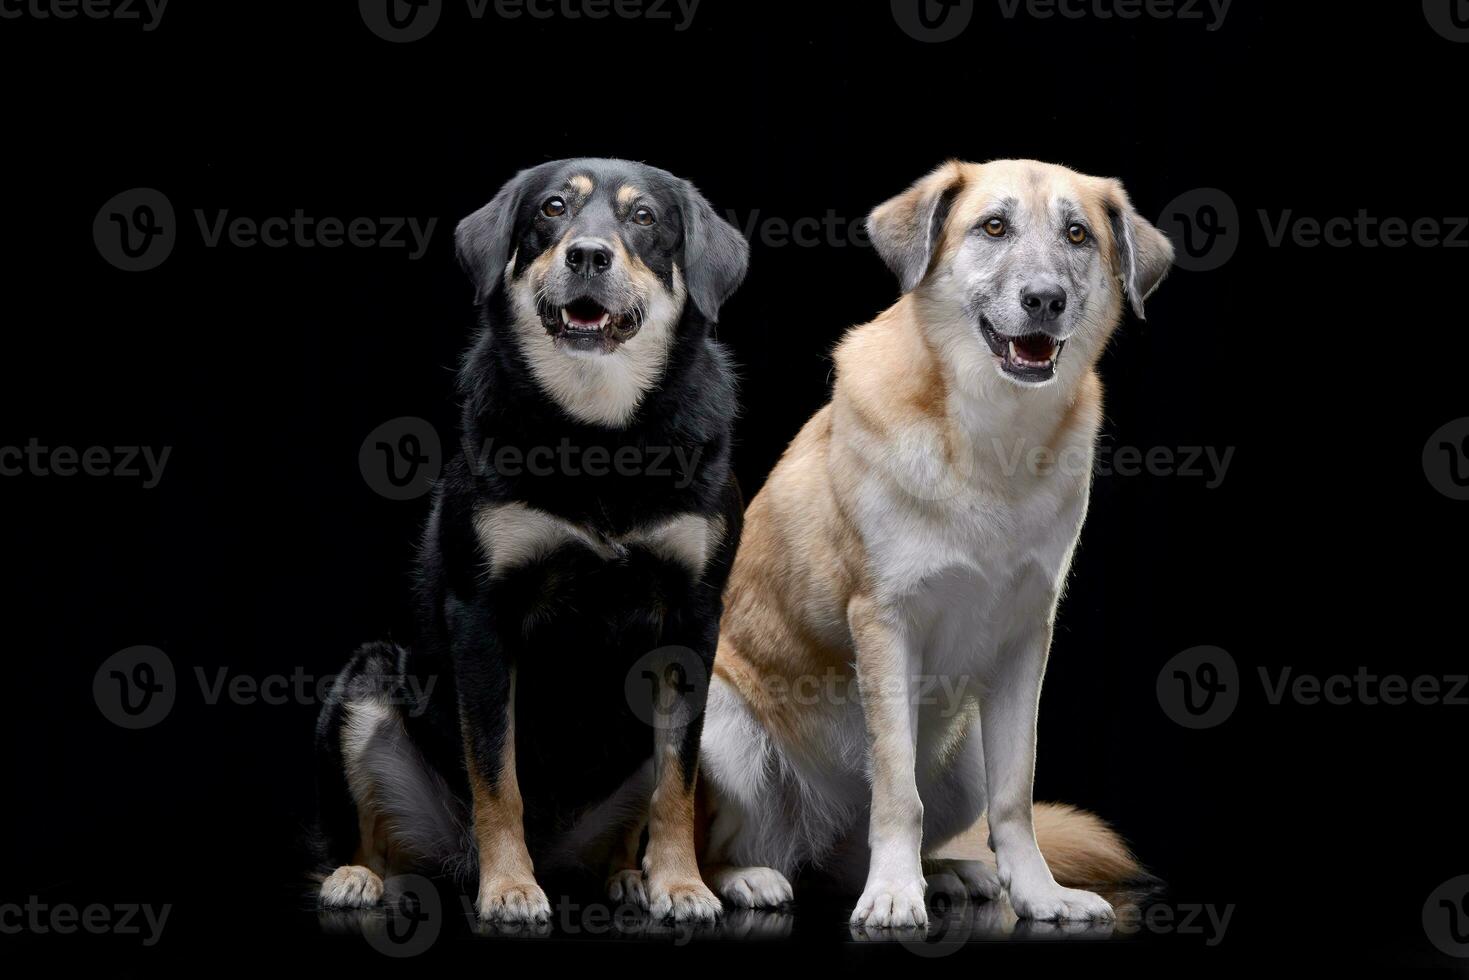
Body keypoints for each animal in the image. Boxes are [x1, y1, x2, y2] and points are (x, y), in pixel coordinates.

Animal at [309, 157, 746, 922]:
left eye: (643, 218)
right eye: (552, 209)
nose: (587, 255)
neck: (598, 432)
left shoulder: (693, 619)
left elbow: (676, 781)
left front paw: (679, 883)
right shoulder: (483, 615)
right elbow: (496, 775)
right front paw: (510, 886)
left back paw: (625, 876)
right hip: (368, 684)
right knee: (382, 837)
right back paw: (360, 876)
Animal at [696, 160, 1169, 928]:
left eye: (1077, 235)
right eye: (993, 227)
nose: (1045, 299)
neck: (992, 437)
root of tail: (813, 840)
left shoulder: (1025, 639)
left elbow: (1015, 796)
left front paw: (1036, 893)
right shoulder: (885, 623)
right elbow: (895, 791)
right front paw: (892, 895)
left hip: (964, 756)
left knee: (856, 855)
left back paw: (947, 873)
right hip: (722, 730)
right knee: (708, 842)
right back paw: (747, 879)